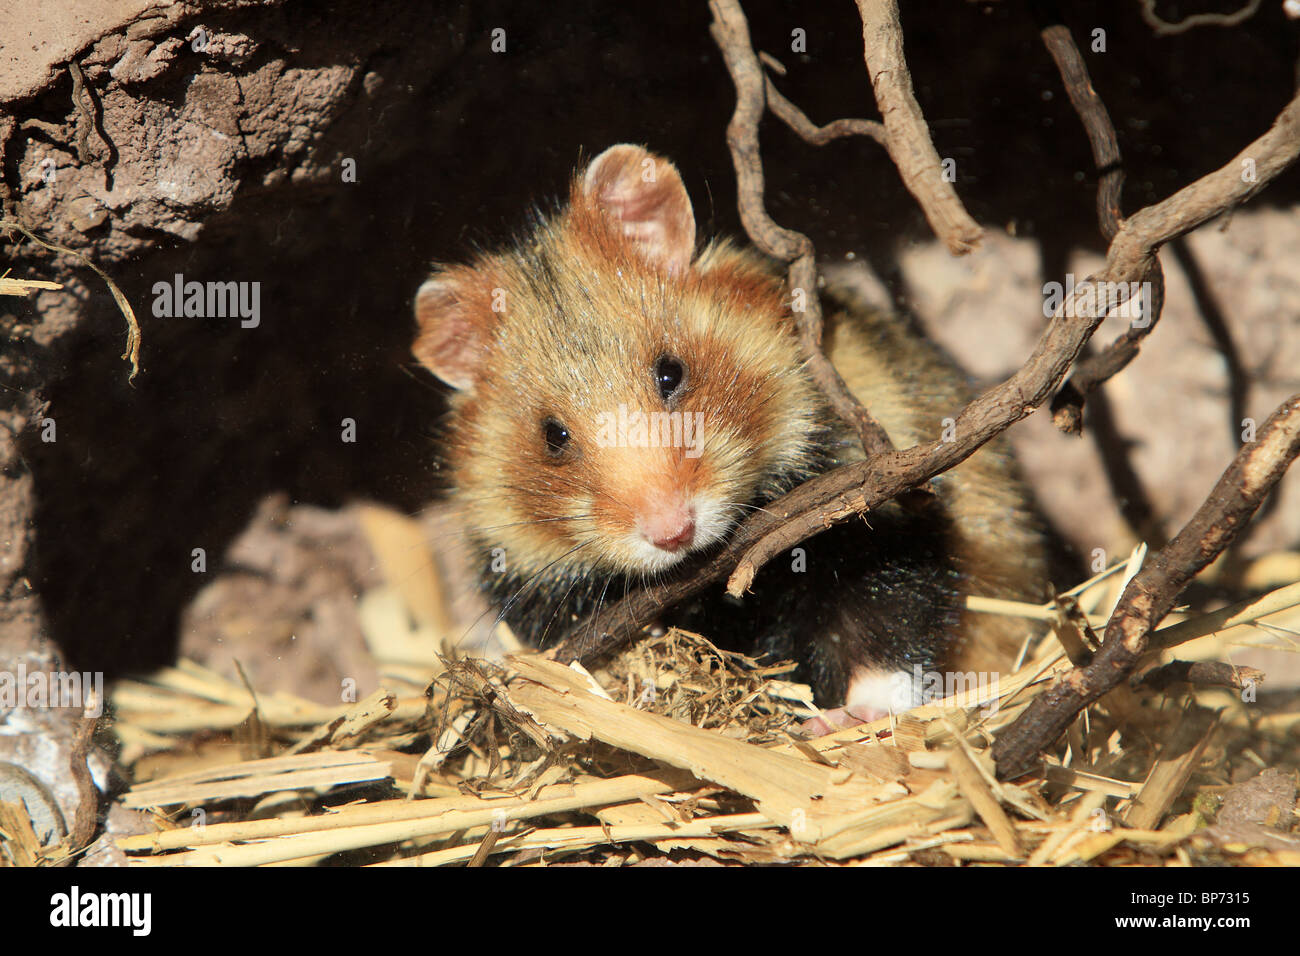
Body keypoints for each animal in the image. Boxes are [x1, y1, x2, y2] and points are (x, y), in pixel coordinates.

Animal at [412, 144, 1048, 726]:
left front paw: (845, 718)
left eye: (671, 373)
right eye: (552, 436)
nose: (673, 532)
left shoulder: (890, 514)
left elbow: (886, 620)